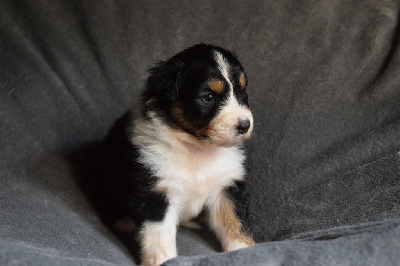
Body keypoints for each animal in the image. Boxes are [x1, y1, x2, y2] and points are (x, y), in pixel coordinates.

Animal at [101, 44, 256, 266]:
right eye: (209, 97)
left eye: (242, 91)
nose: (245, 125)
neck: (197, 150)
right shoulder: (156, 191)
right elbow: (158, 235)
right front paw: (161, 260)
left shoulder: (225, 187)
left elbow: (234, 221)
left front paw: (244, 249)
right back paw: (125, 222)